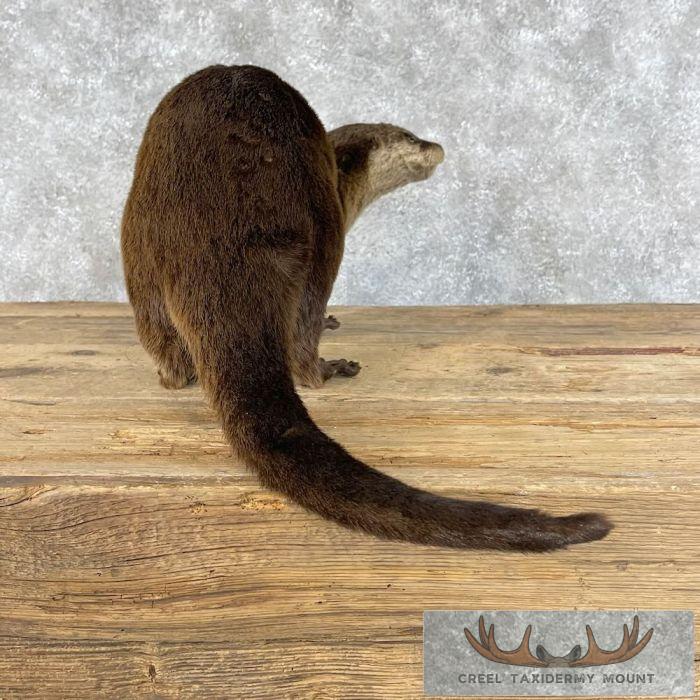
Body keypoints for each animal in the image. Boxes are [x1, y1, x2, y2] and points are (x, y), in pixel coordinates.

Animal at [121, 65, 611, 551]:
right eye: (409, 136)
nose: (436, 144)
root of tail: (219, 234)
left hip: (139, 250)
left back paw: (174, 374)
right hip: (317, 230)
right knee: (303, 331)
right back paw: (328, 366)